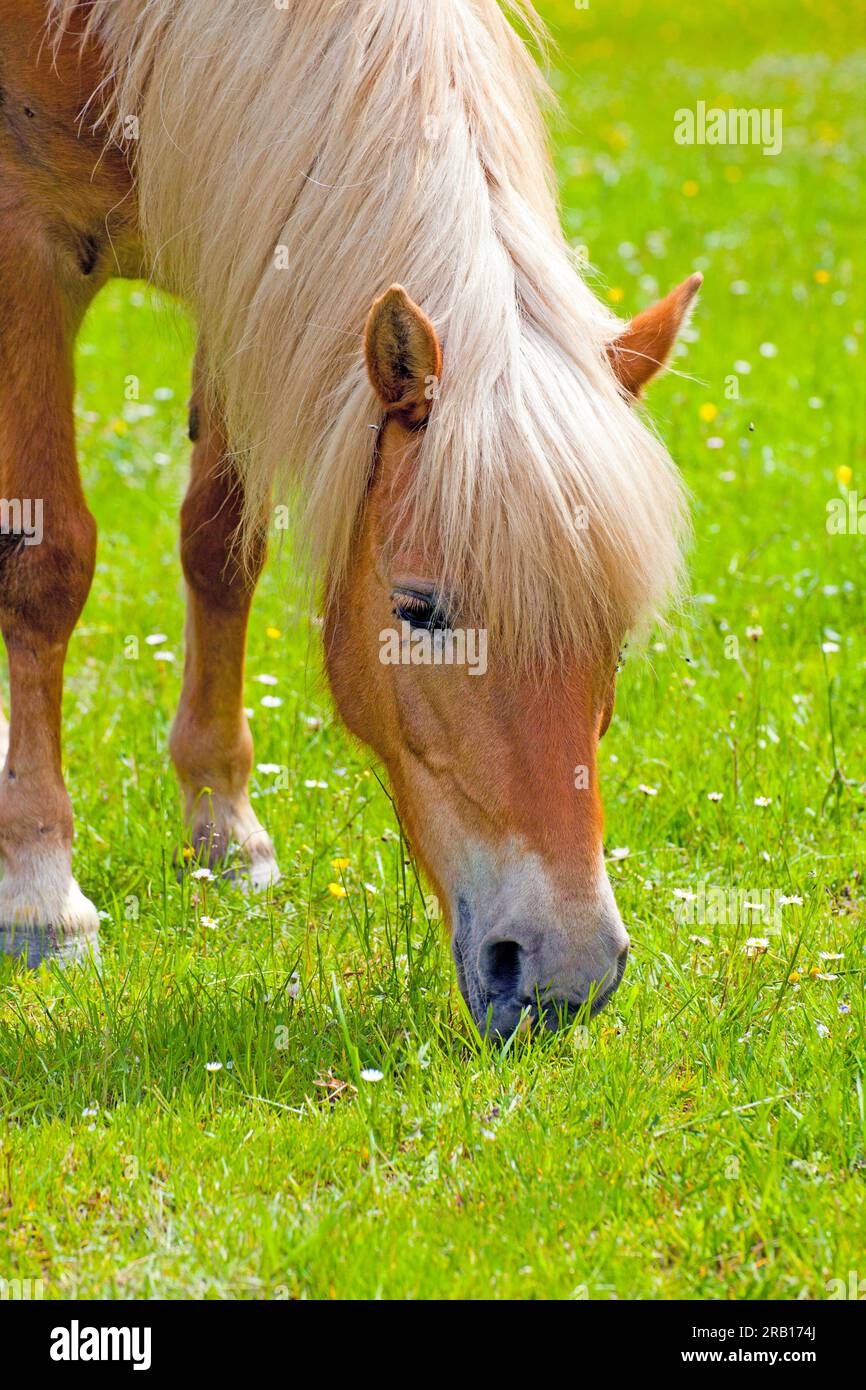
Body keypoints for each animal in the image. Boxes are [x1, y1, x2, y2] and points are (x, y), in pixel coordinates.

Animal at [0, 0, 699, 1035]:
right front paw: (42, 896)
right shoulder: (27, 253)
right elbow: (47, 564)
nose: (566, 979)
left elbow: (221, 545)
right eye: (419, 611)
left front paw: (226, 833)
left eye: (616, 632)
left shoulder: (245, 252)